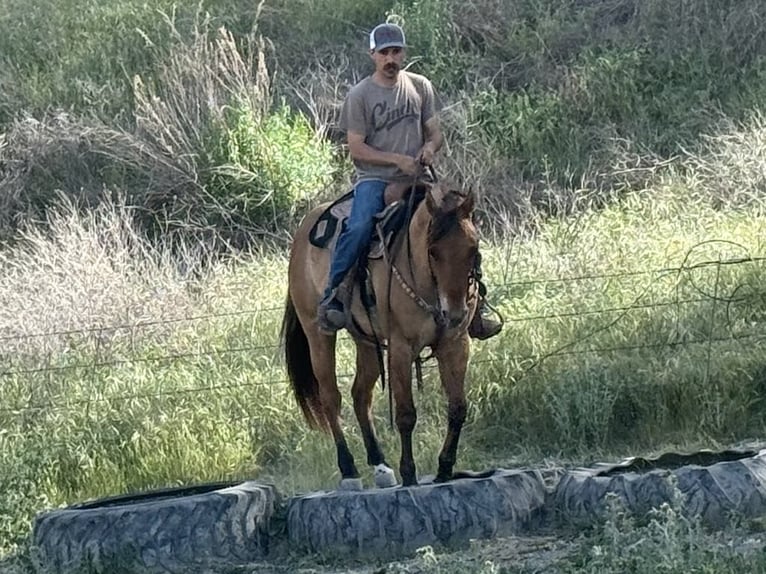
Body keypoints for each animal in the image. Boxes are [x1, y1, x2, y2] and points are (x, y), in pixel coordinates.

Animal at [280, 181, 479, 488]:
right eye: (433, 251)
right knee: (331, 398)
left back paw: (380, 466)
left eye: (473, 248)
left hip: (366, 341)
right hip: (318, 335)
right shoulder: (400, 347)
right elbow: (406, 414)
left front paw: (445, 468)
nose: (455, 313)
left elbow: (458, 408)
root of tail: (303, 231)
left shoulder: (455, 344)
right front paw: (409, 473)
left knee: (361, 395)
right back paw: (350, 472)